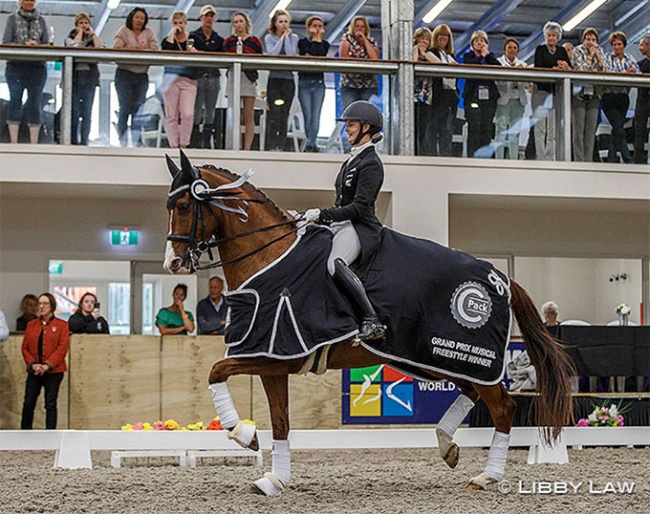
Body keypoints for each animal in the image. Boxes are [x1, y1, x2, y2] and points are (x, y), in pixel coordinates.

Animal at [162, 152, 572, 496]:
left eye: (183, 205)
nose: (173, 263)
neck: (270, 256)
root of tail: (499, 277)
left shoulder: (272, 355)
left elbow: (216, 371)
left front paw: (242, 433)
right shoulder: (273, 361)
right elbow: (279, 421)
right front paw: (274, 478)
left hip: (464, 359)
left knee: (503, 406)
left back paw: (487, 475)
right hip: (433, 358)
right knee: (473, 394)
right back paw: (447, 445)